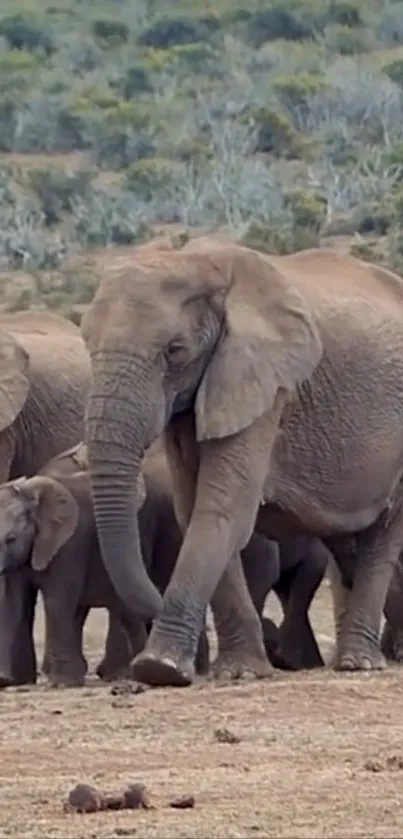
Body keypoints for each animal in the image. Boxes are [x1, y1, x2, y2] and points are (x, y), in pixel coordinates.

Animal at [81, 240, 403, 684]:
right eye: (87, 344)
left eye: (174, 351)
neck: (200, 265)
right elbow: (192, 509)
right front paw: (239, 671)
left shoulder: (265, 387)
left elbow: (222, 509)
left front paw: (159, 668)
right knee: (346, 541)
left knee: (381, 537)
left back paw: (358, 664)